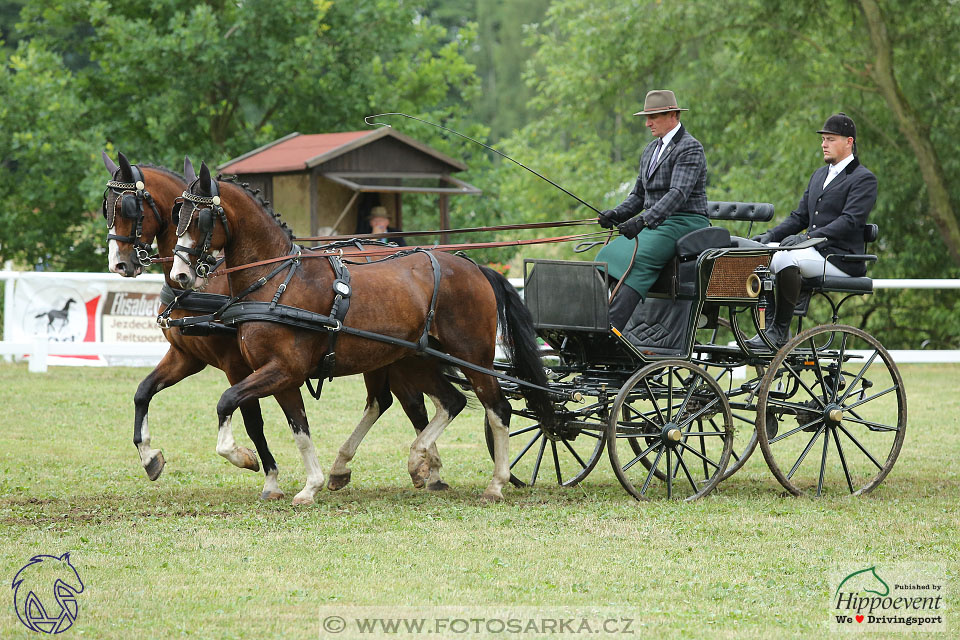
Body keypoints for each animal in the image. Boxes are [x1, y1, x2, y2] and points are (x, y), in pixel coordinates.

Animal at [102, 152, 450, 498]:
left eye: (129, 207)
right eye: (107, 207)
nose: (119, 263)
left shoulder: (237, 364)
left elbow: (251, 419)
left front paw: (263, 473)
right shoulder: (187, 356)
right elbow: (143, 392)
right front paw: (150, 458)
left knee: (414, 403)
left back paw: (426, 467)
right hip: (384, 356)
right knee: (388, 401)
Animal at [172, 162, 556, 502]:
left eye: (199, 217)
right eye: (177, 214)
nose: (179, 275)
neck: (278, 279)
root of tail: (473, 266)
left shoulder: (282, 369)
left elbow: (227, 401)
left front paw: (243, 456)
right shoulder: (282, 376)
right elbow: (300, 430)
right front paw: (311, 486)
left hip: (472, 356)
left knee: (497, 408)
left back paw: (489, 481)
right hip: (416, 359)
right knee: (451, 401)